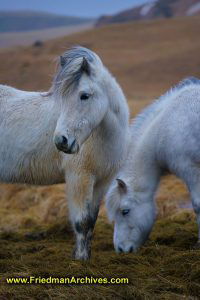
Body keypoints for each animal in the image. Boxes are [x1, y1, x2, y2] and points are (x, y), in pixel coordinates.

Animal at [0, 47, 130, 260]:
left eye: (84, 95)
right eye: (62, 98)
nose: (61, 141)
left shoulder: (102, 182)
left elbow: (91, 221)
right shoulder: (79, 179)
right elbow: (81, 222)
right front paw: (81, 259)